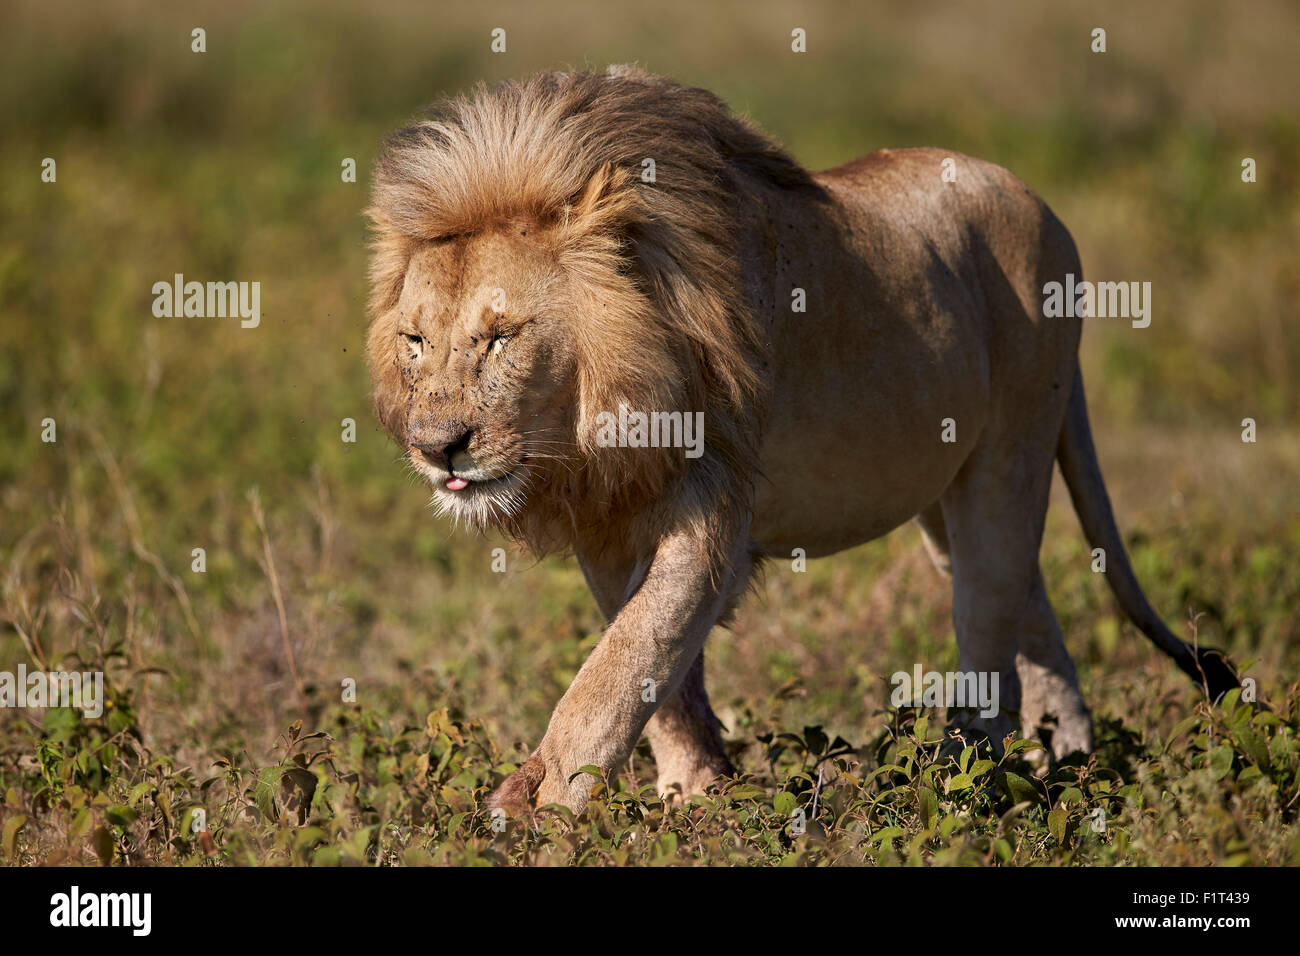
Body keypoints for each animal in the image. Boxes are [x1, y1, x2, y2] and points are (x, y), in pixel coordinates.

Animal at [366, 67, 1237, 816]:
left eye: (501, 337)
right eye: (415, 341)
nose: (438, 447)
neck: (592, 426)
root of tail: (1040, 202)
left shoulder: (712, 509)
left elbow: (619, 664)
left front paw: (540, 810)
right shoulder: (609, 526)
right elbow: (657, 679)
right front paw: (696, 797)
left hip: (1009, 455)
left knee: (989, 624)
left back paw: (962, 782)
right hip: (943, 497)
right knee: (1033, 609)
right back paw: (1067, 762)